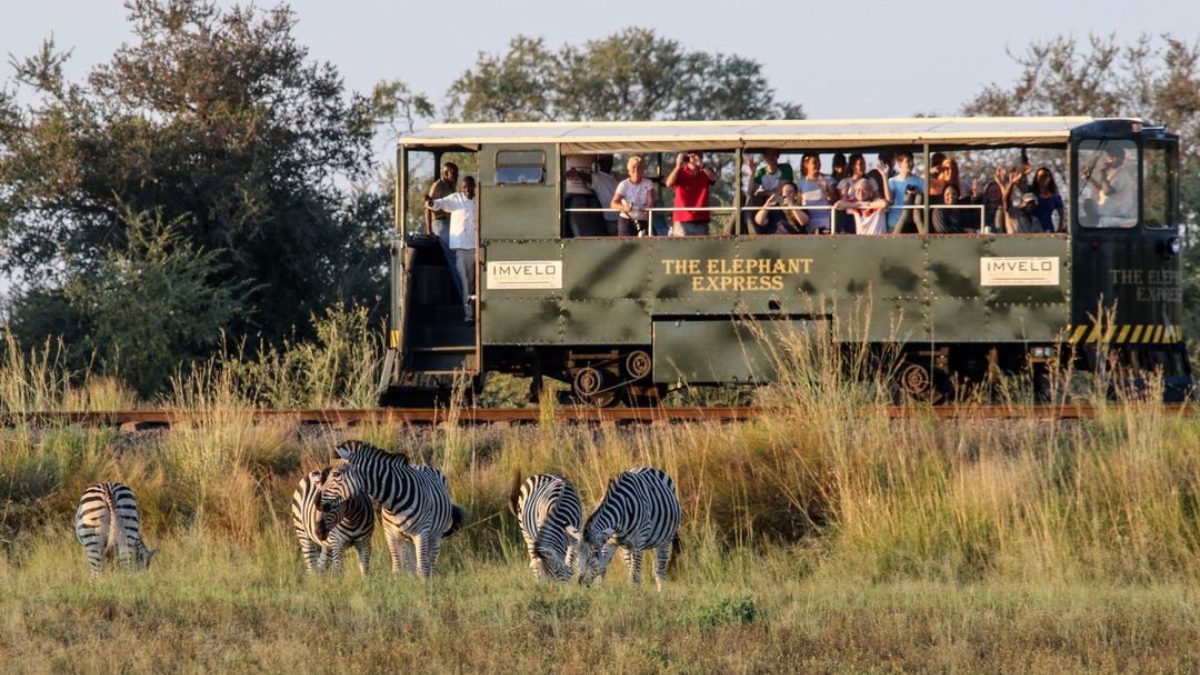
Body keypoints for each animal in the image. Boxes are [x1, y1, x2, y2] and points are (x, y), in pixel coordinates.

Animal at [319, 439, 463, 576]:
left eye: (336, 474)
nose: (319, 503)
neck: (394, 502)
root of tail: (423, 466)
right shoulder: (390, 534)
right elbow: (397, 568)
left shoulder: (421, 533)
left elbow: (422, 568)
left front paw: (422, 585)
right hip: (407, 539)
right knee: (411, 564)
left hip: (435, 534)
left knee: (431, 563)